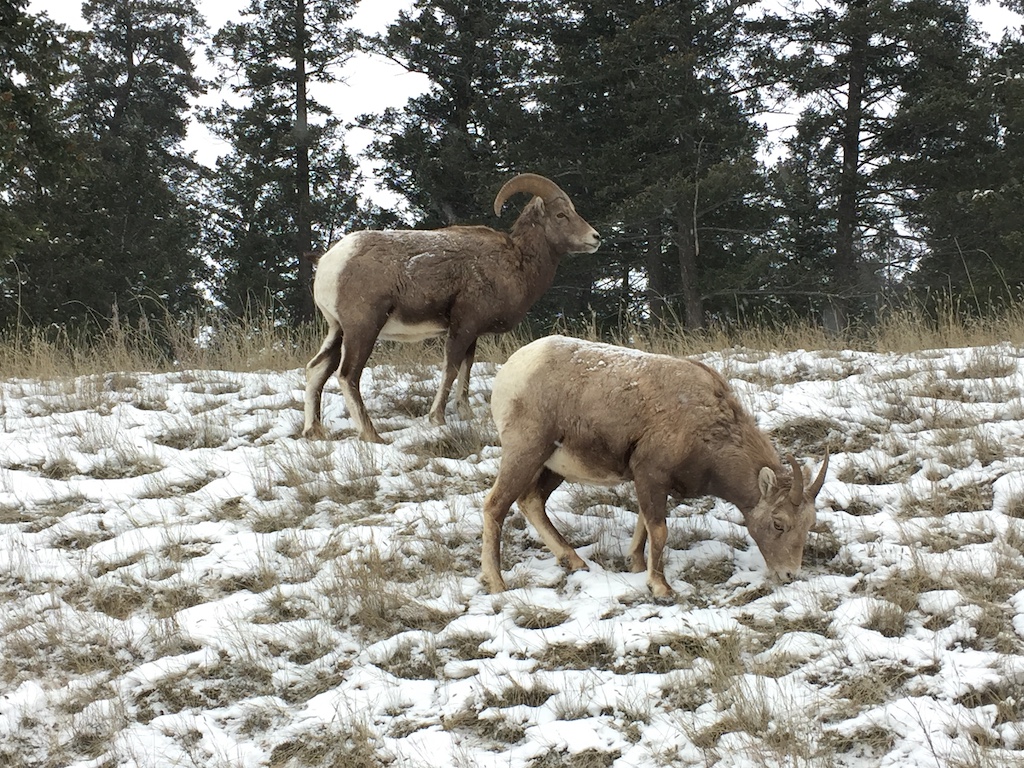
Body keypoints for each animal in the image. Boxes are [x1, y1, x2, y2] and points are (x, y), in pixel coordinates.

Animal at [299, 171, 598, 442]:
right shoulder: (462, 326)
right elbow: (451, 368)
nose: (595, 237)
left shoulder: (472, 332)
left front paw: (465, 413)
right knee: (347, 375)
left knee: (316, 369)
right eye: (560, 215)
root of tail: (329, 262)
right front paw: (437, 418)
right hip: (363, 329)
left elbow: (466, 368)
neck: (516, 262)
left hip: (338, 331)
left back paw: (314, 432)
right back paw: (372, 435)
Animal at [481, 337, 831, 602]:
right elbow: (659, 530)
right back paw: (497, 583)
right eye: (778, 524)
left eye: (809, 524)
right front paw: (661, 587)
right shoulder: (651, 474)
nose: (789, 574)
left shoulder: (647, 480)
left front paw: (636, 565)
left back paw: (575, 561)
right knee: (496, 505)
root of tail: (512, 370)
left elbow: (645, 524)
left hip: (552, 467)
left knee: (531, 501)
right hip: (526, 453)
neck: (704, 425)